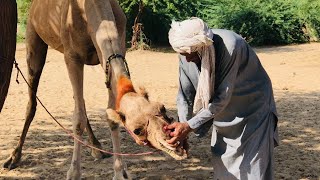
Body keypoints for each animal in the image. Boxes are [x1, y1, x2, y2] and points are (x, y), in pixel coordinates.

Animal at [2, 0, 188, 179]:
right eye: (137, 130)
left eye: (162, 108)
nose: (174, 142)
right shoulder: (72, 57)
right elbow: (77, 119)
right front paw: (74, 173)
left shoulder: (113, 54)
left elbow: (110, 116)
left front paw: (120, 172)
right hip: (34, 37)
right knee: (32, 100)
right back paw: (13, 158)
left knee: (79, 101)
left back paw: (97, 147)